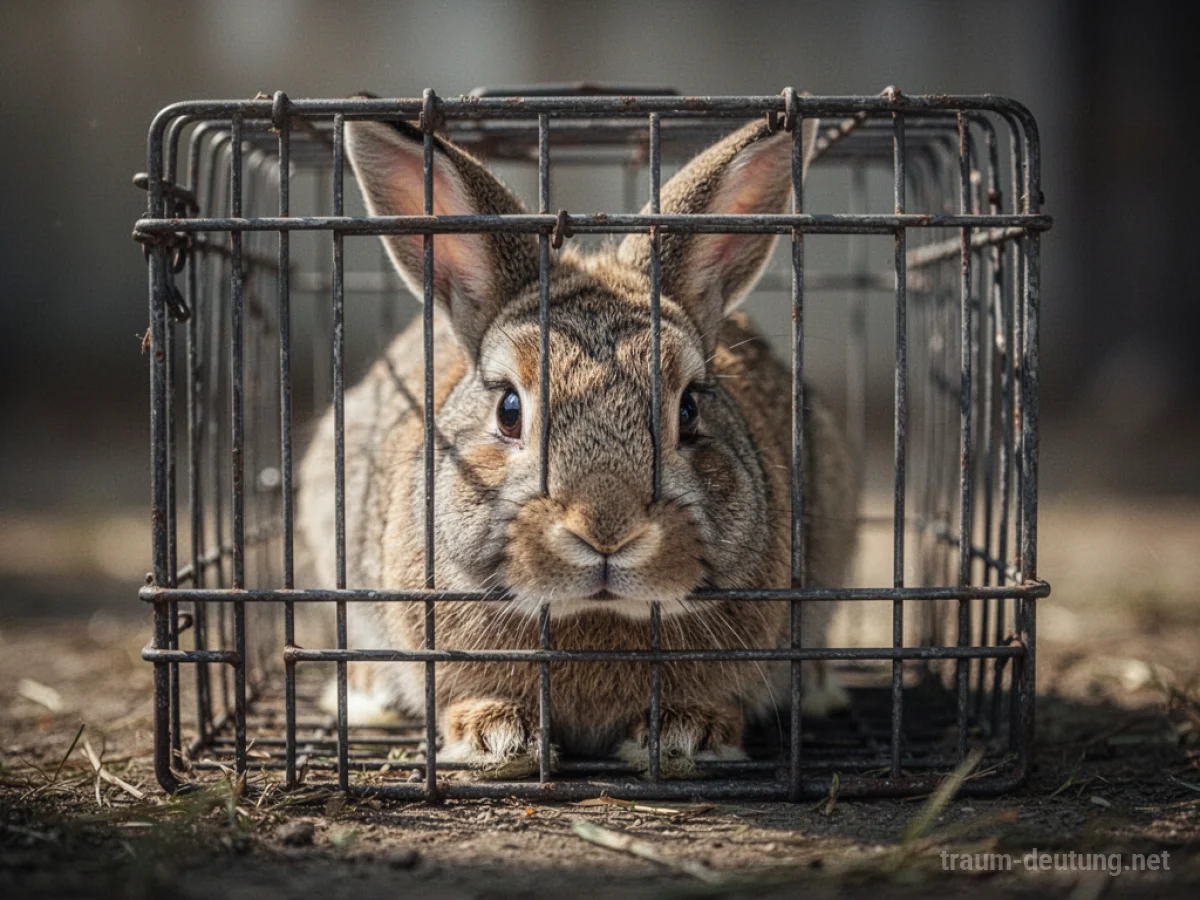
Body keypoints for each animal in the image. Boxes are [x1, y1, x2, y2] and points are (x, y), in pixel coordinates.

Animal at [296, 110, 858, 777]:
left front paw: (687, 736)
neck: (595, 613)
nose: (607, 531)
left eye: (689, 409)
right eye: (509, 411)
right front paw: (495, 737)